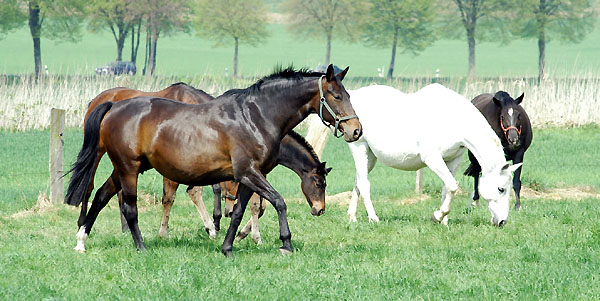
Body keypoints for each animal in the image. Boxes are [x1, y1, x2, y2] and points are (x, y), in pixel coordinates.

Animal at [65, 65, 360, 255]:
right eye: (336, 96)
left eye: (348, 95)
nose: (356, 130)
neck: (256, 116)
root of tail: (113, 105)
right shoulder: (248, 173)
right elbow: (278, 202)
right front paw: (285, 243)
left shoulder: (247, 177)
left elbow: (240, 211)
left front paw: (227, 247)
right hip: (128, 169)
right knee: (128, 208)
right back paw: (142, 248)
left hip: (124, 169)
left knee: (101, 196)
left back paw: (81, 241)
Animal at [346, 84, 520, 225]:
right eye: (501, 189)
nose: (502, 222)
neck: (455, 121)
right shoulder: (433, 158)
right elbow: (452, 186)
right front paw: (437, 216)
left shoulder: (453, 160)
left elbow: (446, 188)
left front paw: (444, 222)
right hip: (359, 147)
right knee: (363, 184)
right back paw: (373, 218)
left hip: (370, 156)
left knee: (357, 180)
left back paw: (352, 217)